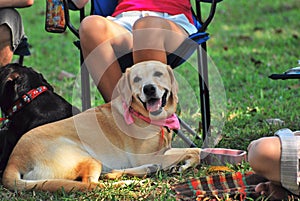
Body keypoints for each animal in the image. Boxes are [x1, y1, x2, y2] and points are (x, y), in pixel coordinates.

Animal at [1, 60, 202, 192]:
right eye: (136, 79)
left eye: (158, 74)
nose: (149, 89)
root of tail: (14, 160)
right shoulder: (145, 156)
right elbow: (196, 151)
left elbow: (195, 150)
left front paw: (183, 164)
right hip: (87, 157)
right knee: (91, 184)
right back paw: (130, 182)